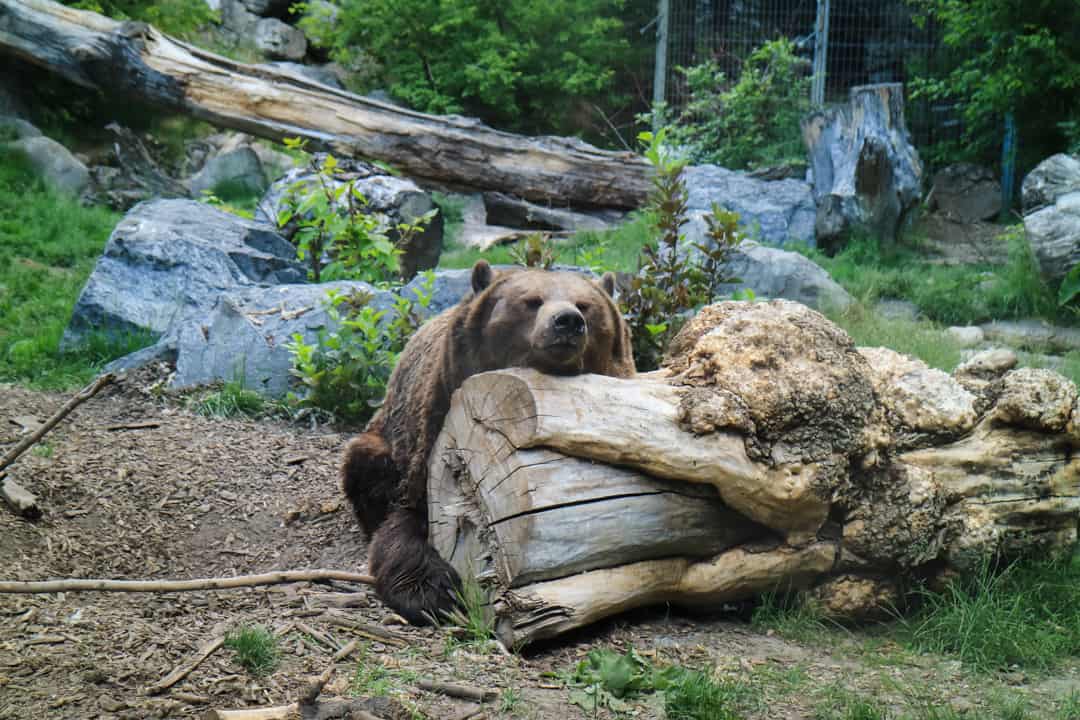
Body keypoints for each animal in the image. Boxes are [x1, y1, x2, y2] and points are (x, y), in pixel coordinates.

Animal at [343, 260, 630, 626]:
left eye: (585, 305)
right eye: (531, 301)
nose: (567, 321)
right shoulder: (436, 432)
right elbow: (408, 520)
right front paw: (434, 591)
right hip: (384, 437)